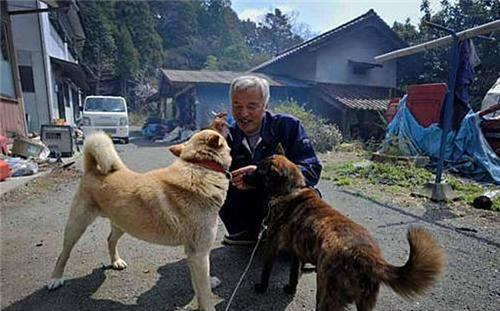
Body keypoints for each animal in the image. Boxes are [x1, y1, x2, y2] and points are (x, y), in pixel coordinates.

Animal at [47, 130, 231, 310]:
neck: (199, 165)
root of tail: (93, 169)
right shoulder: (199, 253)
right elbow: (204, 291)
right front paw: (208, 302)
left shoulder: (193, 253)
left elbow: (198, 285)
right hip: (77, 226)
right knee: (64, 253)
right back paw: (55, 278)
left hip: (121, 223)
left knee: (110, 240)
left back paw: (116, 262)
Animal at [246, 149, 446, 311]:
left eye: (259, 171)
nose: (244, 174)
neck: (291, 190)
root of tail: (366, 255)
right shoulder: (296, 254)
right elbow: (294, 275)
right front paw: (290, 289)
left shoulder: (272, 244)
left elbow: (266, 270)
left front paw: (261, 287)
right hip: (365, 303)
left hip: (326, 294)